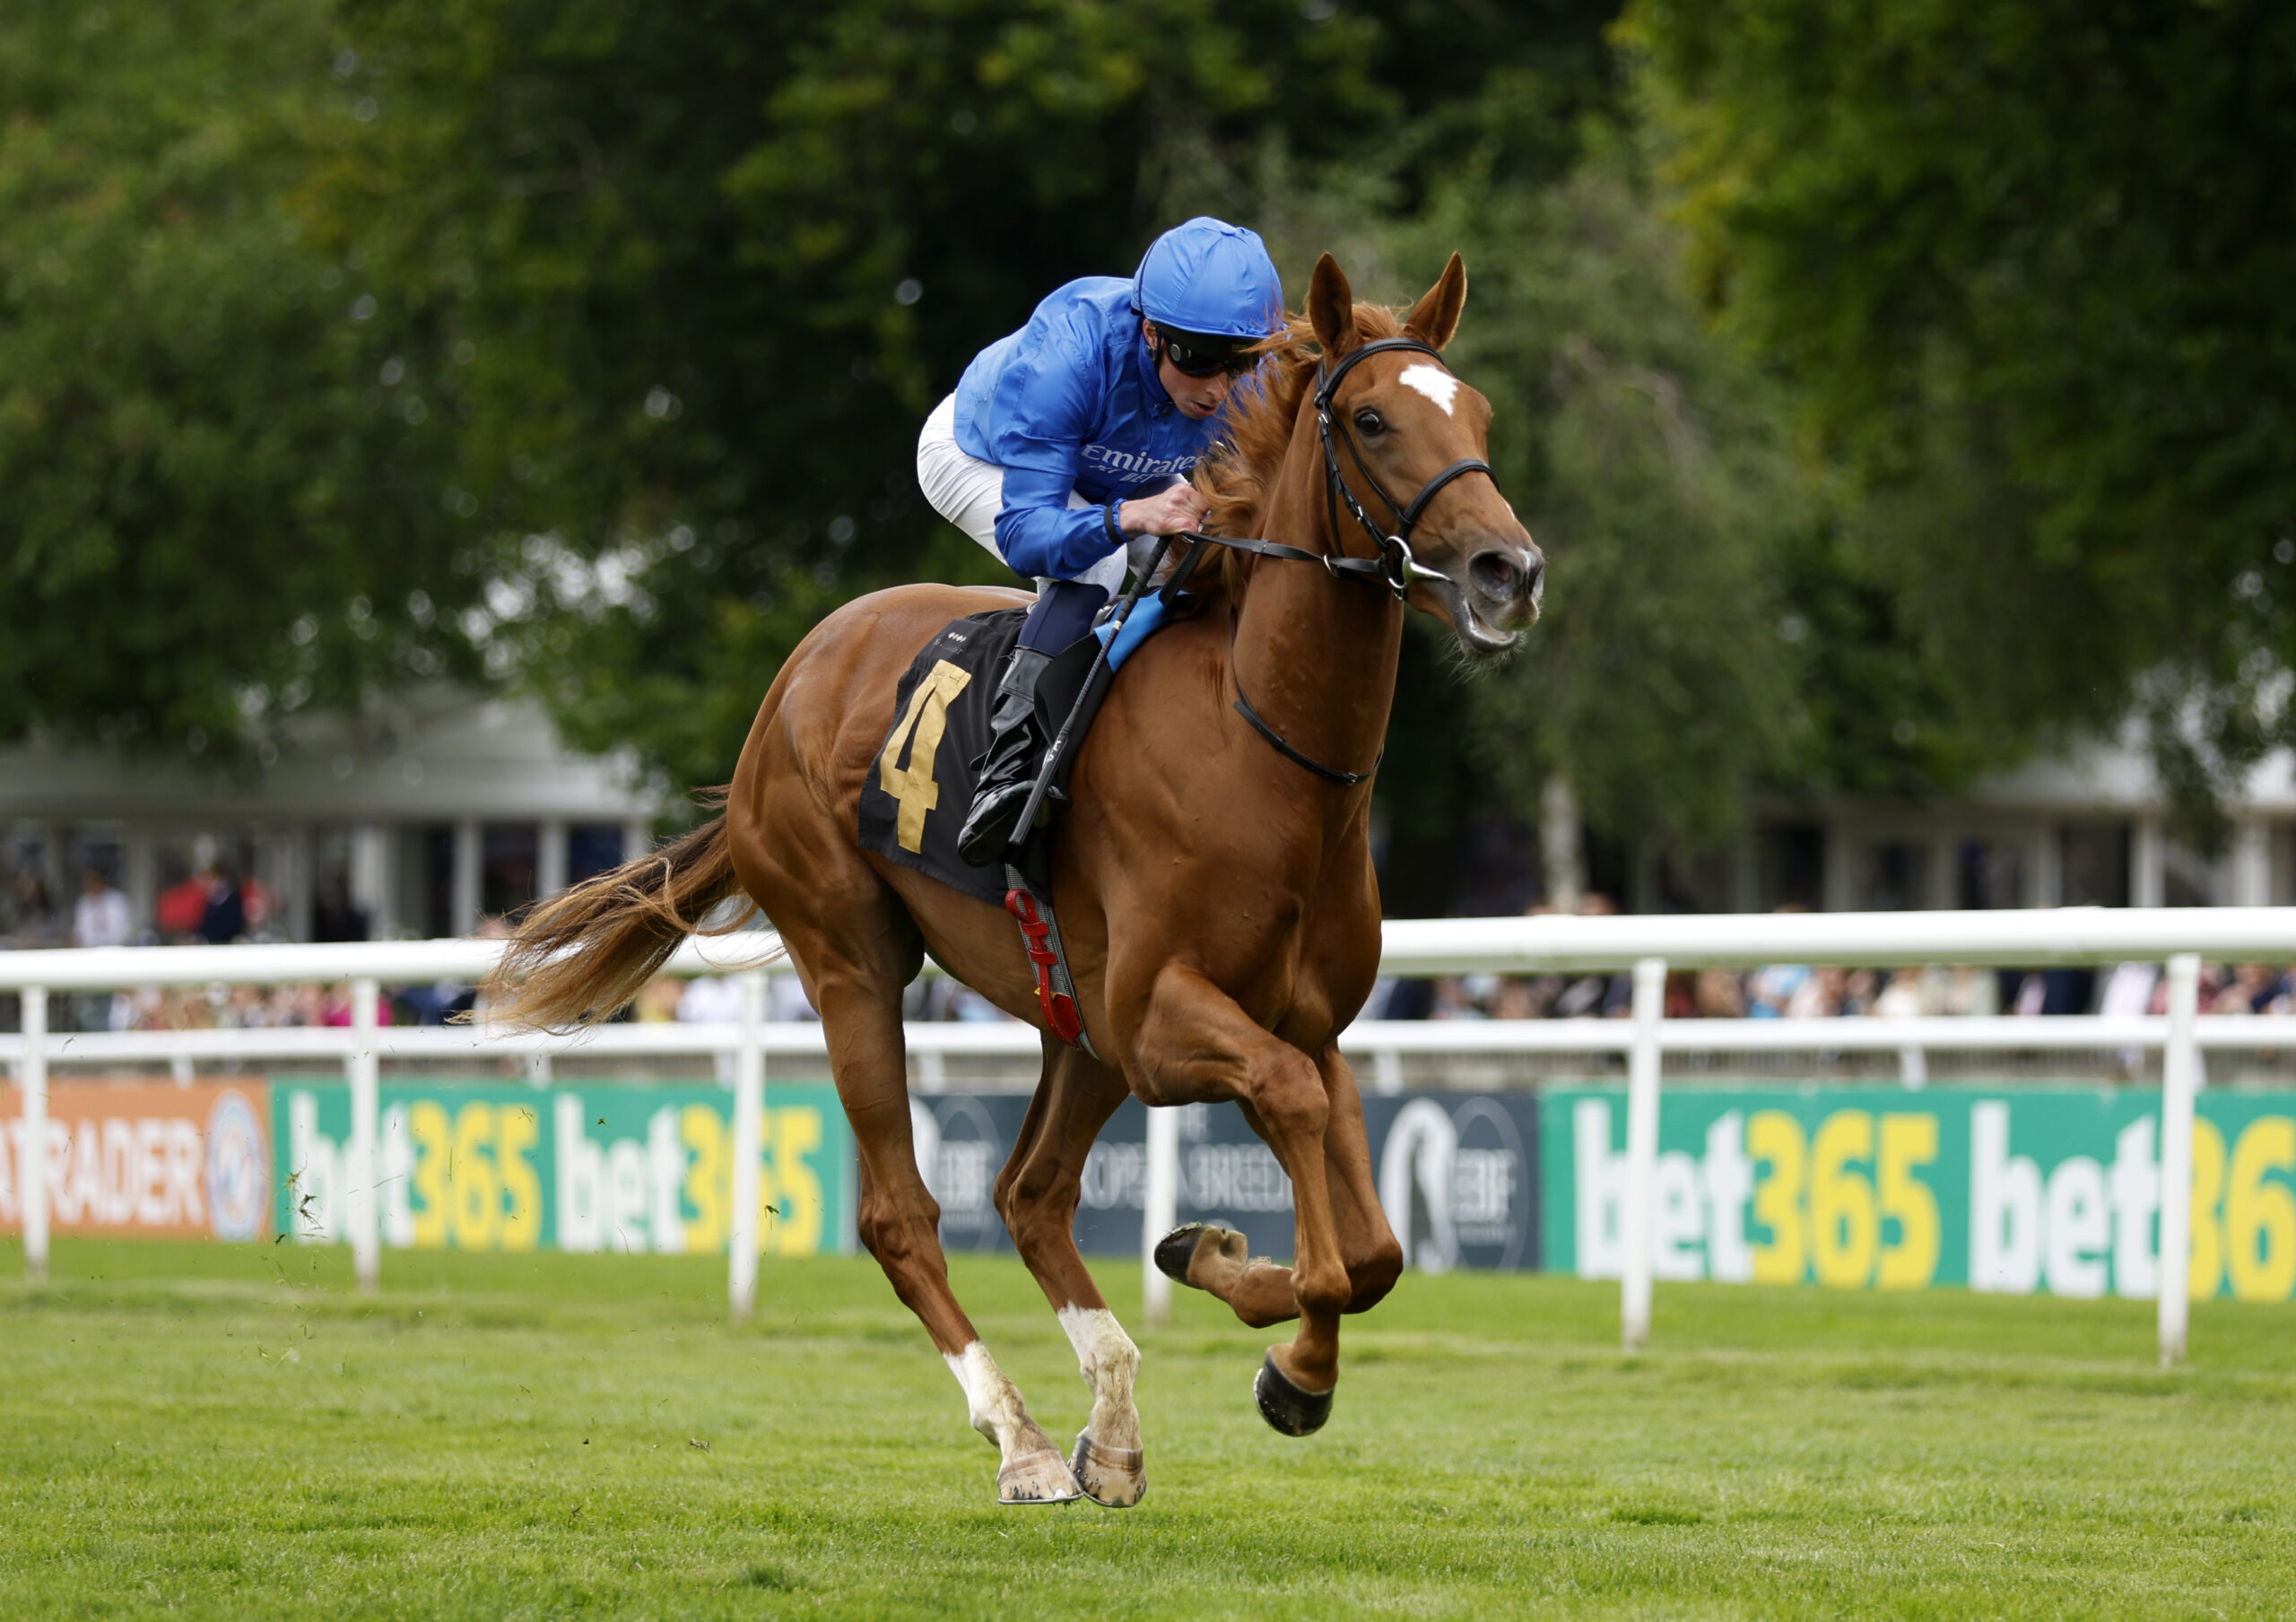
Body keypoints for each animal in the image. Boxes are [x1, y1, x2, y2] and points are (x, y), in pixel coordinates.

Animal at [498, 253, 1543, 1514]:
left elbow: (1375, 1242)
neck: (1261, 753)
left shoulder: (1301, 1019)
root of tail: (793, 677)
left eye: (1478, 414)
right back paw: (1026, 1439)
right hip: (854, 958)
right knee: (903, 1215)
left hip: (1070, 1020)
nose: (1509, 572)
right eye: (1374, 419)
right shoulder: (1160, 1020)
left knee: (1028, 1195)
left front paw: (1257, 1316)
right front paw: (1265, 1315)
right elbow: (1303, 1138)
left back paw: (1114, 1427)